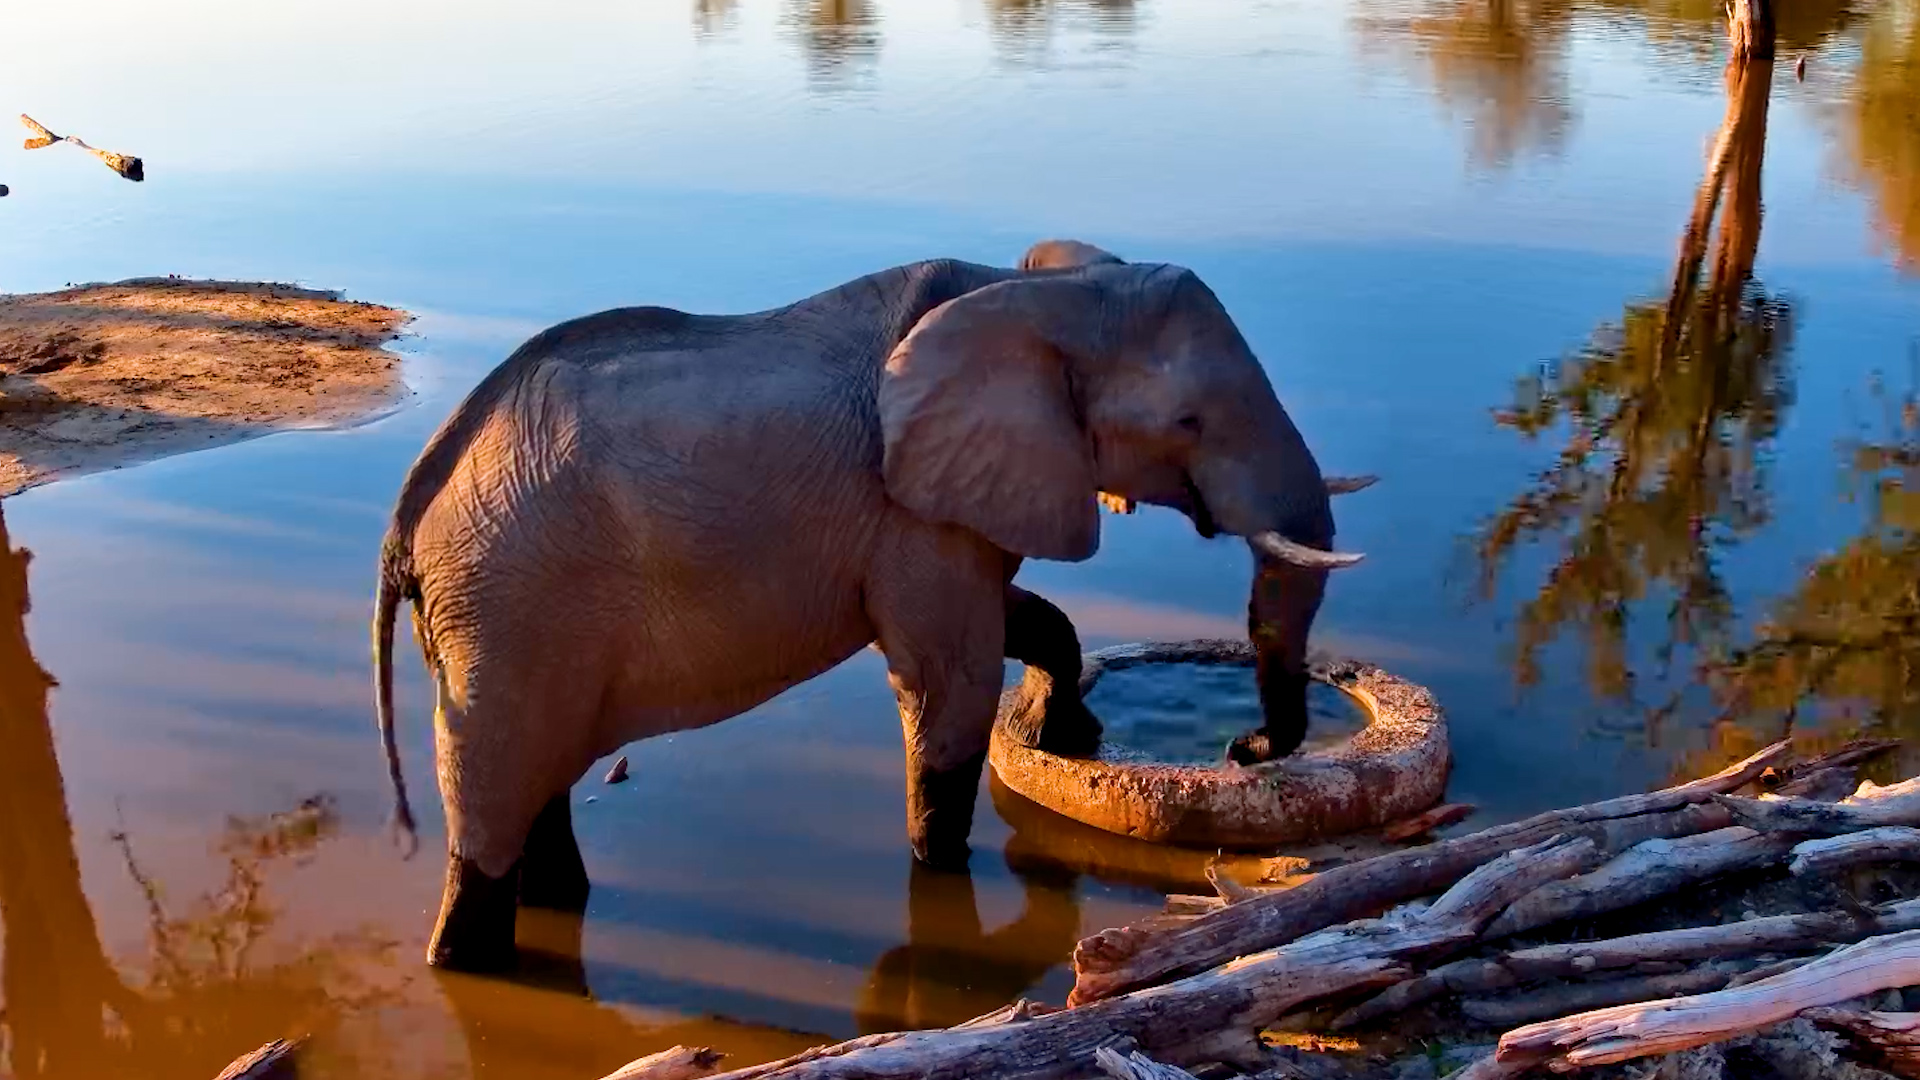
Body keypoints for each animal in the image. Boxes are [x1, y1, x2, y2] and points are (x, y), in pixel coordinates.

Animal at [371, 239, 1367, 972]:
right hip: (509, 607)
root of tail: (405, 522)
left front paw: (1069, 736)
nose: (1242, 748)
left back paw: (555, 908)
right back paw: (468, 962)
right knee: (492, 788)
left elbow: (1020, 619)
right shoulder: (907, 504)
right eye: (1188, 423)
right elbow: (949, 679)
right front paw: (945, 865)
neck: (1037, 291)